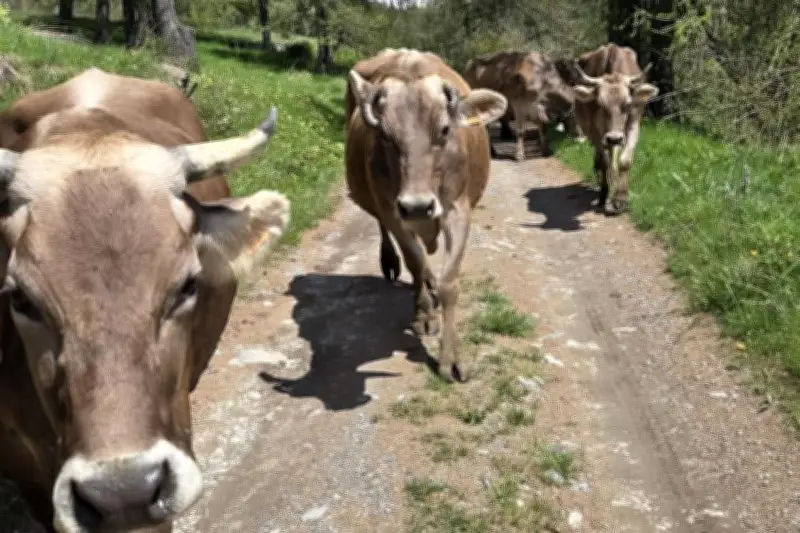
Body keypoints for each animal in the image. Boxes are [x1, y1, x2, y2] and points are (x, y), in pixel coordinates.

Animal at [344, 48, 507, 382]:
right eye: (384, 135)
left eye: (444, 130)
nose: (418, 206)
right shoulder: (394, 211)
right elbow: (415, 262)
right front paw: (423, 314)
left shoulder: (458, 210)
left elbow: (449, 283)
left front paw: (451, 356)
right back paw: (393, 264)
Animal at [569, 43, 659, 214]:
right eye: (599, 104)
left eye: (628, 104)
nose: (614, 138)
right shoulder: (596, 131)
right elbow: (604, 161)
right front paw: (604, 193)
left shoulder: (633, 124)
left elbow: (625, 160)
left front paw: (620, 198)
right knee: (602, 158)